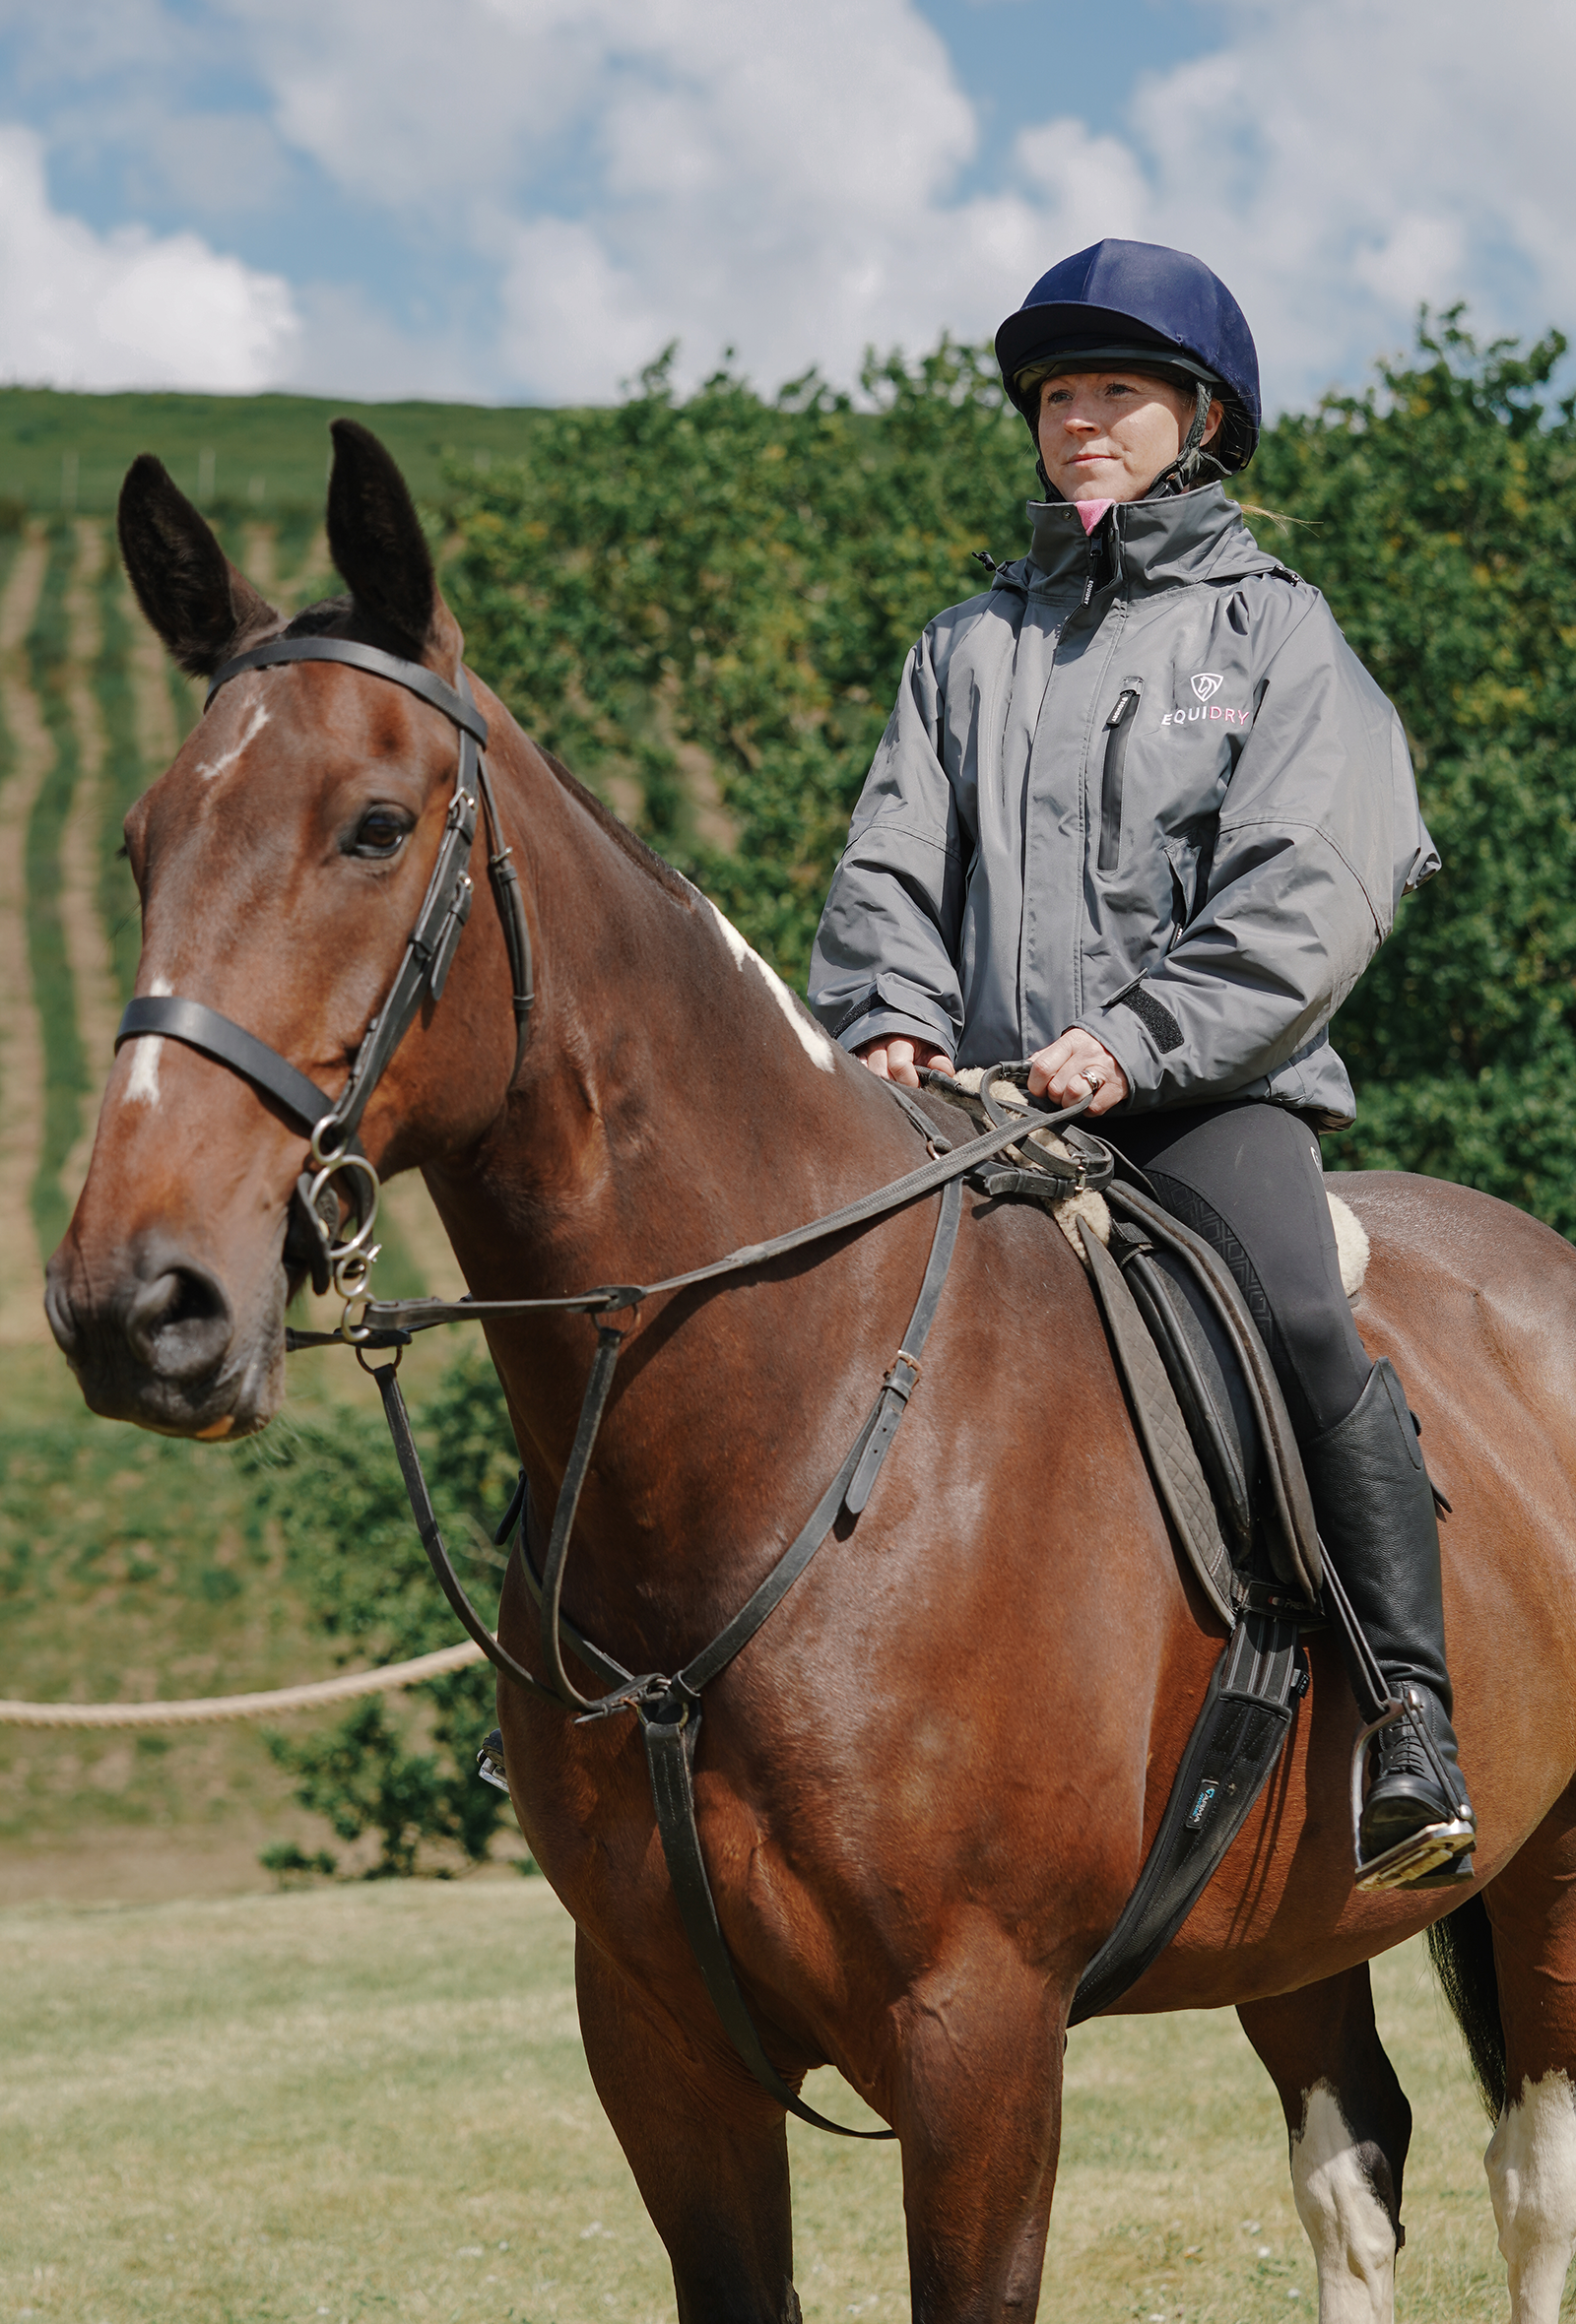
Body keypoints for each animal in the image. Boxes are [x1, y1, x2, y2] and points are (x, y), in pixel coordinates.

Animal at [44, 418, 1576, 2324]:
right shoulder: (660, 2049)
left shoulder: (980, 2046)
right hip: (1290, 1928)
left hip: (1549, 1886)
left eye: (376, 828)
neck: (790, 1424)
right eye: (138, 843)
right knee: (1353, 2168)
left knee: (1532, 2183)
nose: (136, 1305)